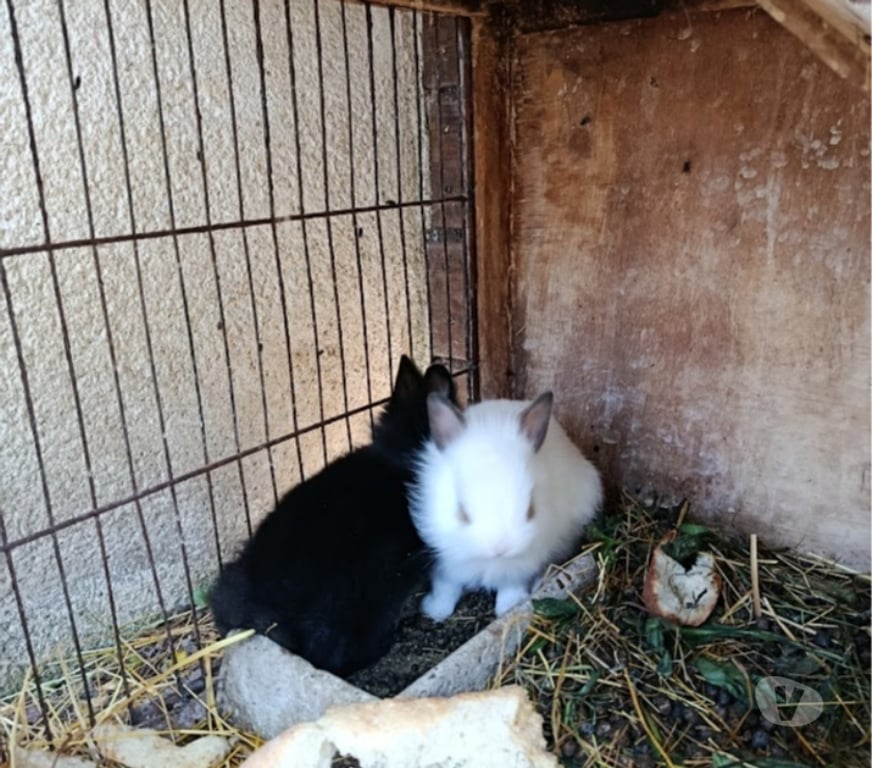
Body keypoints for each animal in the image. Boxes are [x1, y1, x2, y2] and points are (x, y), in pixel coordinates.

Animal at [409, 391, 602, 621]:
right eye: (462, 512)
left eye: (530, 509)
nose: (500, 549)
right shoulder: (446, 560)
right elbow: (446, 586)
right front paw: (435, 610)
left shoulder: (521, 564)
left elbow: (511, 585)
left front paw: (508, 607)